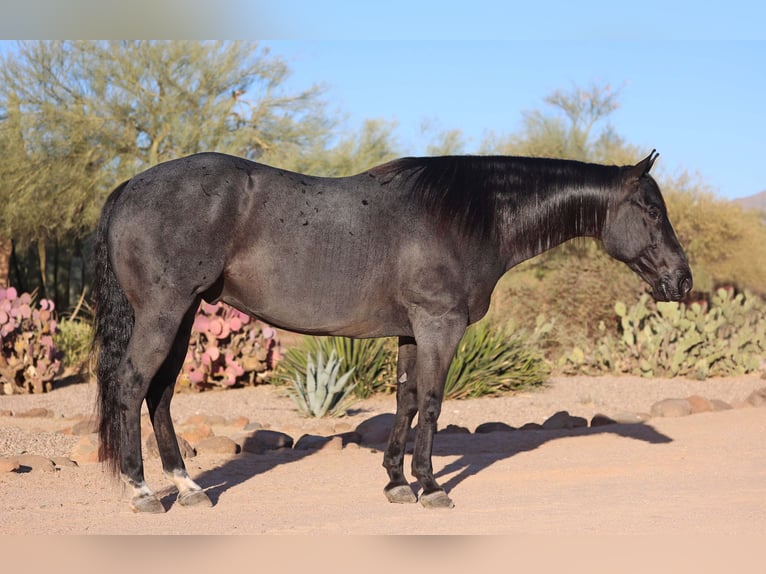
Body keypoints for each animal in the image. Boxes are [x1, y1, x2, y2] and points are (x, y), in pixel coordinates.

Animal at [93, 148, 692, 512]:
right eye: (650, 209)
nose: (682, 281)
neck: (469, 215)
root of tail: (127, 188)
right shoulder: (439, 326)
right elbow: (431, 402)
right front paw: (430, 486)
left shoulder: (410, 332)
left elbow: (404, 401)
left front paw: (396, 482)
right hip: (165, 313)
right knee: (131, 385)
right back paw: (143, 491)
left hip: (184, 315)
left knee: (160, 394)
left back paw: (188, 486)